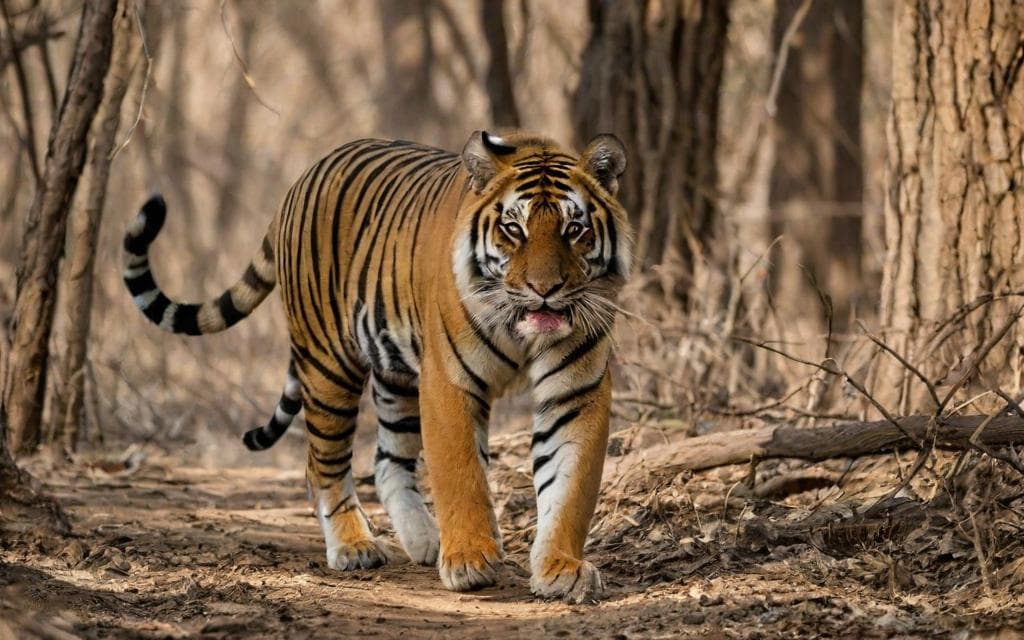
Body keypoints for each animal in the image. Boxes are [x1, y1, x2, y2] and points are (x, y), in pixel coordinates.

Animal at [121, 131, 632, 603]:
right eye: (513, 229)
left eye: (573, 229)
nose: (544, 289)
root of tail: (302, 179)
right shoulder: (449, 381)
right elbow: (460, 472)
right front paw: (470, 559)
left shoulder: (574, 391)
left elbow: (569, 487)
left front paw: (561, 569)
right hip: (329, 365)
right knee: (321, 465)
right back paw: (354, 547)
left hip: (397, 373)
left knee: (386, 461)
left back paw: (425, 540)